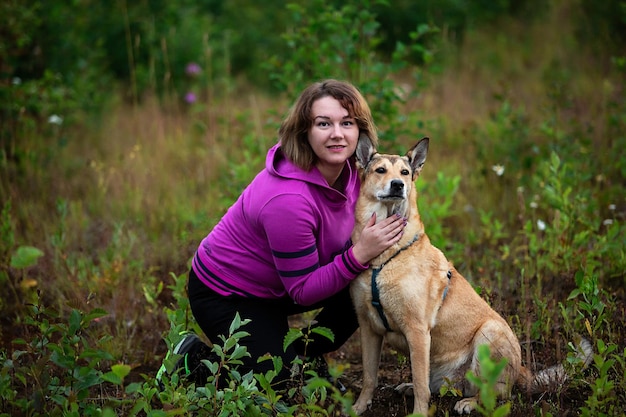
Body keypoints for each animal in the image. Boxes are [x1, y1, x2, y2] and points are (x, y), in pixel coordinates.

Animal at [352, 136, 588, 412]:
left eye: (405, 173)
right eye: (380, 171)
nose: (398, 185)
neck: (383, 257)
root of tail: (520, 370)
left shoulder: (417, 330)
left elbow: (421, 387)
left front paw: (419, 414)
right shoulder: (368, 327)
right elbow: (370, 377)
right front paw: (357, 407)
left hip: (490, 332)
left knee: (495, 394)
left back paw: (470, 402)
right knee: (436, 385)